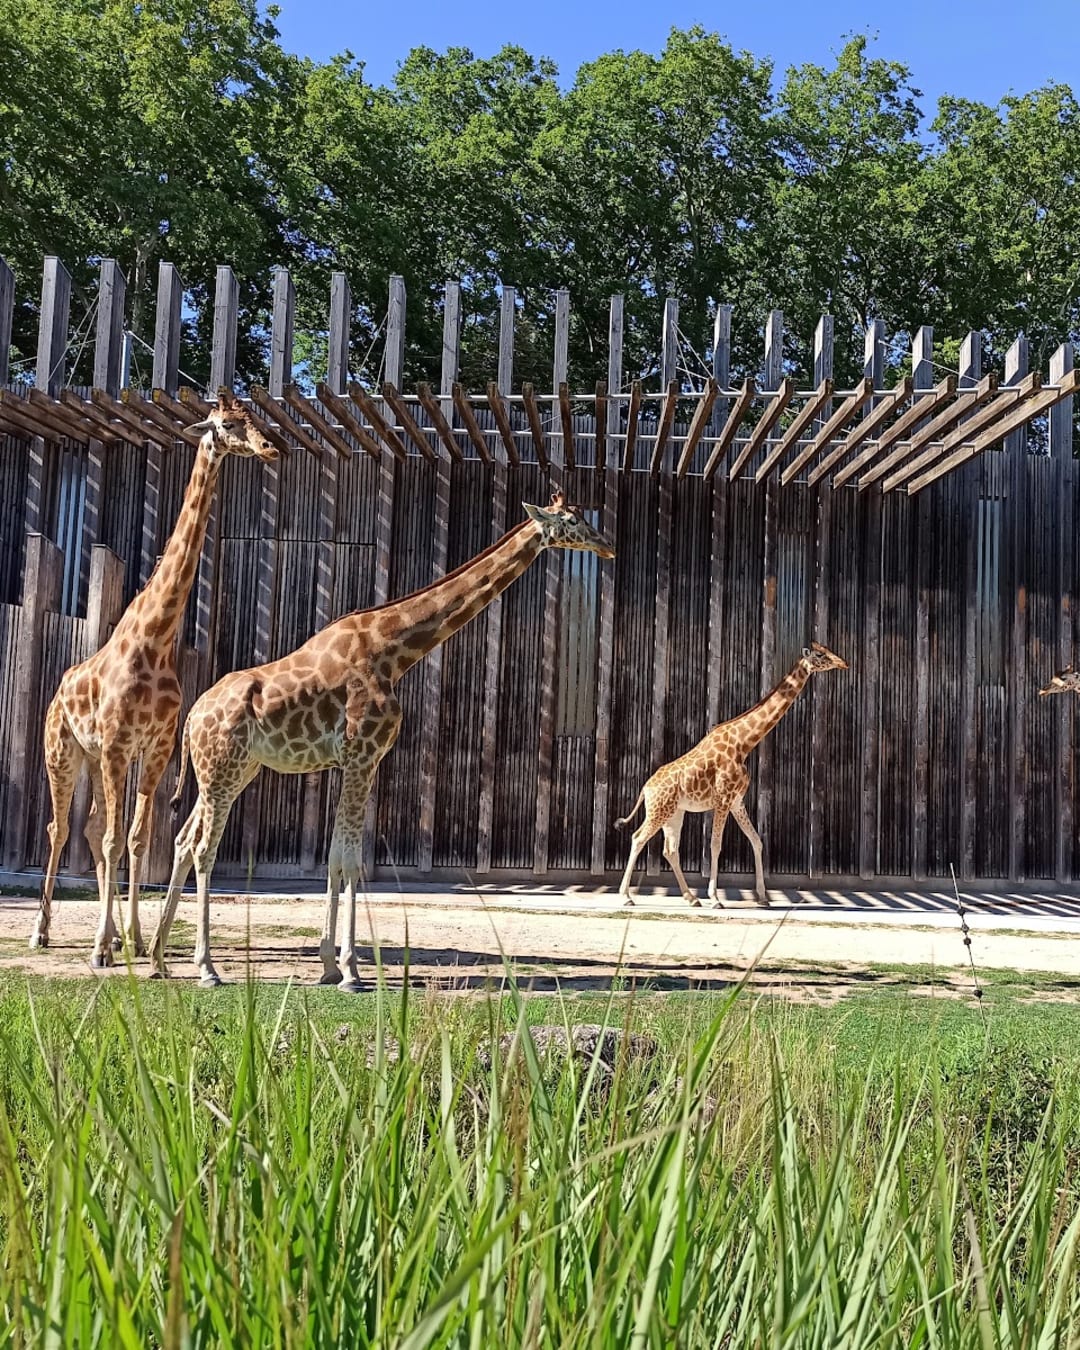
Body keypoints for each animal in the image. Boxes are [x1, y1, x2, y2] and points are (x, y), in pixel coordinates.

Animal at [30, 391, 278, 961]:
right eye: (227, 424)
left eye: (257, 420)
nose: (270, 448)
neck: (157, 637)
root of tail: (57, 690)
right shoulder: (121, 742)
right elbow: (116, 838)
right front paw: (102, 948)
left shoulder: (156, 747)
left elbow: (136, 838)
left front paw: (136, 943)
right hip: (64, 752)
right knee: (59, 827)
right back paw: (42, 931)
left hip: (96, 758)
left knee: (93, 826)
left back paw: (115, 935)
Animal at [149, 491, 615, 988]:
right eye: (572, 520)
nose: (607, 545)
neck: (392, 651)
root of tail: (192, 716)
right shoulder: (362, 756)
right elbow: (350, 860)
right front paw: (352, 970)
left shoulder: (361, 761)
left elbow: (338, 856)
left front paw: (330, 965)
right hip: (222, 769)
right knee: (203, 849)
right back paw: (206, 968)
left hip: (231, 772)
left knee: (183, 841)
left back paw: (159, 961)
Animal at [615, 642, 853, 907]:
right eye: (821, 654)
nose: (844, 663)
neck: (744, 744)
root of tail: (646, 788)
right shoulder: (723, 799)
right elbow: (715, 845)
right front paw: (715, 898)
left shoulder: (738, 800)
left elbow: (757, 841)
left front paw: (763, 897)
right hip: (659, 810)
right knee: (638, 838)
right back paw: (626, 897)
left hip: (674, 813)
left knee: (670, 849)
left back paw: (691, 898)